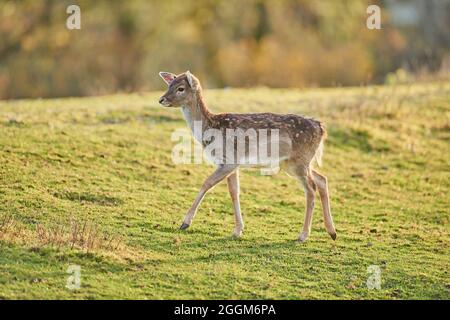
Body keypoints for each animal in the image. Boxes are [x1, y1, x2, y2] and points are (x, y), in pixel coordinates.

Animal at [160, 71, 336, 241]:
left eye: (180, 88)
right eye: (169, 85)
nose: (161, 99)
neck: (210, 129)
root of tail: (321, 128)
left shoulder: (229, 160)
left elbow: (206, 183)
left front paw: (185, 222)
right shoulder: (232, 164)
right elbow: (233, 192)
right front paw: (237, 230)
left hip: (299, 161)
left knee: (311, 189)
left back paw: (303, 235)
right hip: (294, 163)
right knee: (322, 179)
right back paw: (332, 232)